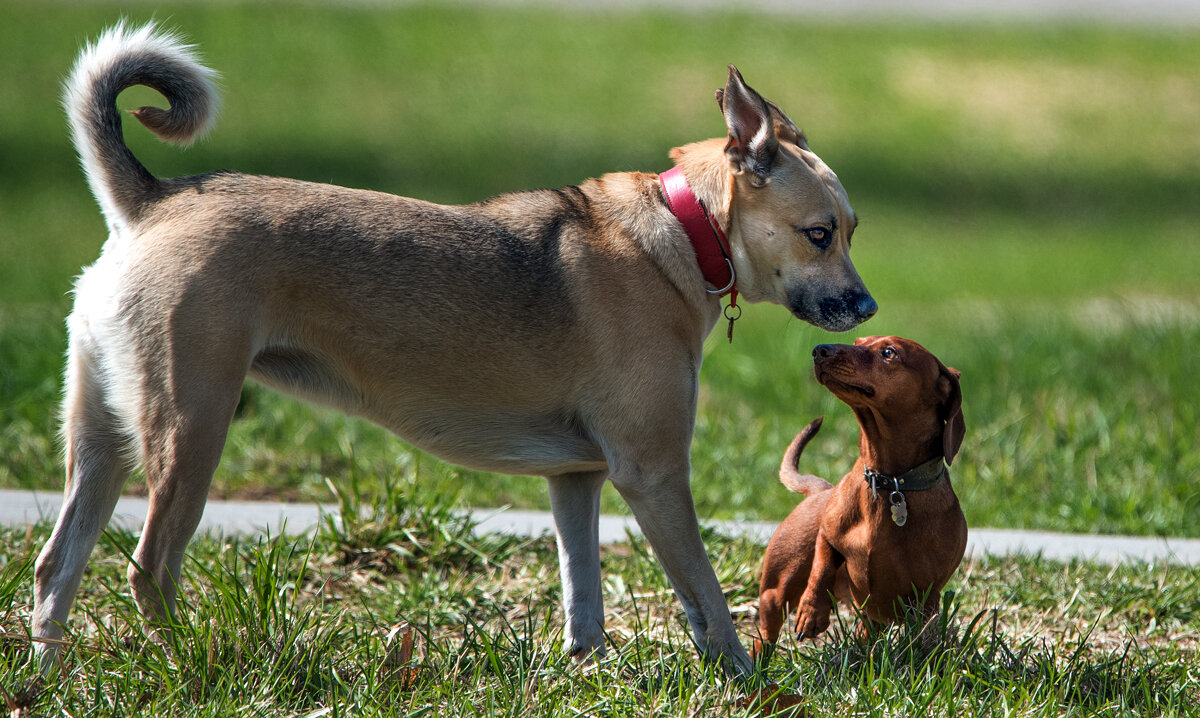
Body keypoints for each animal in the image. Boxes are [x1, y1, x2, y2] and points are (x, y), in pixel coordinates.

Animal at [758, 340, 964, 662]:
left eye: (889, 352)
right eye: (858, 342)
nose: (819, 349)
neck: (890, 482)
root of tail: (821, 490)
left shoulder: (925, 597)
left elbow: (921, 634)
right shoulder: (827, 535)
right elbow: (822, 566)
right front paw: (811, 613)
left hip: (872, 619)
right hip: (775, 591)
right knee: (765, 634)